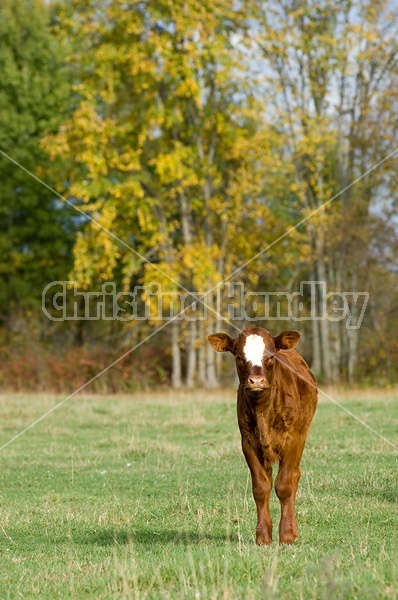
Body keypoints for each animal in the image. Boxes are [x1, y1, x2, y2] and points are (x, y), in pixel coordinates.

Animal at [208, 326, 318, 548]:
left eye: (271, 356)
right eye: (239, 357)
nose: (256, 381)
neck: (263, 411)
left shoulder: (293, 439)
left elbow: (285, 485)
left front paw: (286, 535)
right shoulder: (248, 442)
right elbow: (260, 487)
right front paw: (263, 536)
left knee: (294, 476)